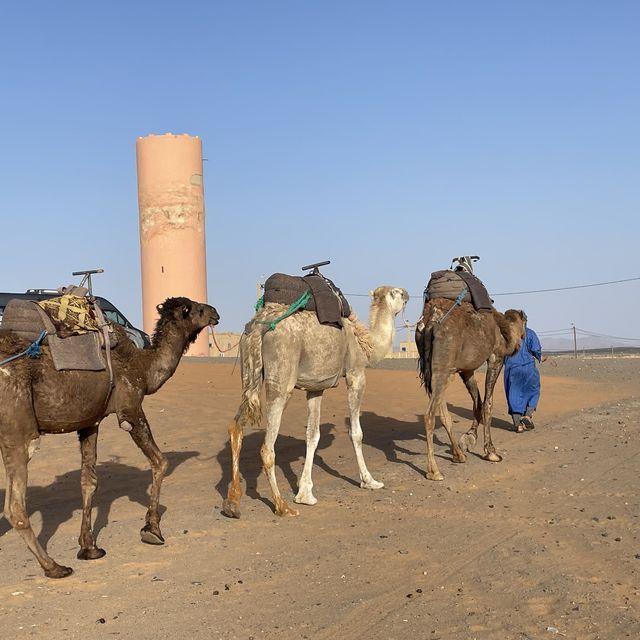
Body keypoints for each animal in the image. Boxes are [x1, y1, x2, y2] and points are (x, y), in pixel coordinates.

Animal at [0, 298, 219, 576]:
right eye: (198, 309)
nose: (215, 313)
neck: (143, 366)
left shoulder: (90, 422)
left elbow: (88, 481)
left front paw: (89, 547)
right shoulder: (130, 407)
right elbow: (160, 462)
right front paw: (152, 529)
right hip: (18, 429)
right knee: (15, 508)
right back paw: (53, 566)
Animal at [222, 288, 408, 516]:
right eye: (396, 293)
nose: (407, 294)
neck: (366, 343)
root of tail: (259, 325)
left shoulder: (316, 387)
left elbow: (313, 435)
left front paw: (305, 494)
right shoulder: (356, 374)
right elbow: (356, 433)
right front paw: (370, 481)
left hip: (249, 375)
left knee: (235, 428)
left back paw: (232, 503)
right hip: (281, 376)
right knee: (267, 447)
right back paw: (282, 506)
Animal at [416, 300, 524, 480]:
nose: (522, 341)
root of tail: (430, 321)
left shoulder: (467, 370)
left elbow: (477, 402)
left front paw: (469, 437)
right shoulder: (496, 357)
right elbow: (487, 403)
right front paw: (491, 452)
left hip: (435, 370)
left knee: (443, 413)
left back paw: (458, 455)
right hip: (443, 367)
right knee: (429, 415)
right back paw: (434, 471)